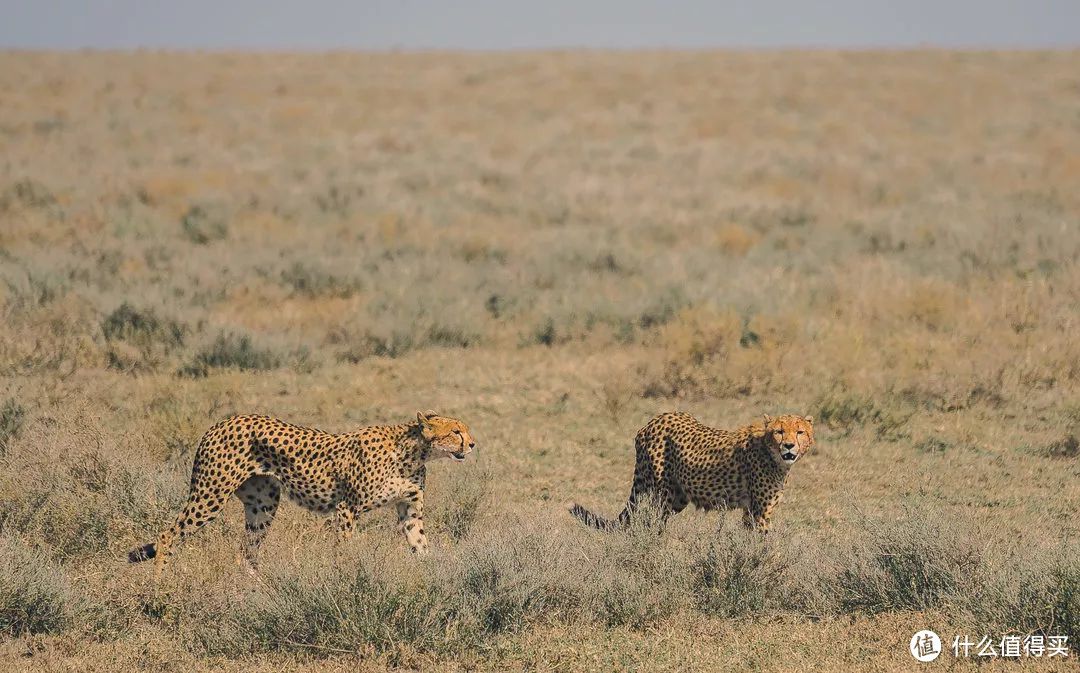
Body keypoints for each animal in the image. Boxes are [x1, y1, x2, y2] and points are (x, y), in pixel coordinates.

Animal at [128, 408, 475, 574]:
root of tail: (221, 422)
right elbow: (343, 551)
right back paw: (160, 590)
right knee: (167, 536)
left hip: (264, 505)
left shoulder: (410, 511)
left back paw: (260, 593)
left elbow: (422, 546)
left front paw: (436, 578)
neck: (413, 452)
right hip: (210, 495)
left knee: (246, 553)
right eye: (456, 432)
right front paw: (348, 580)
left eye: (466, 430)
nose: (473, 444)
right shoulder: (347, 509)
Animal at [570, 412, 812, 533]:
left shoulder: (751, 511)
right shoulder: (759, 511)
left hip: (677, 498)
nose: (789, 446)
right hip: (662, 494)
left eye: (800, 432)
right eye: (779, 431)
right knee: (650, 523)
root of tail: (654, 420)